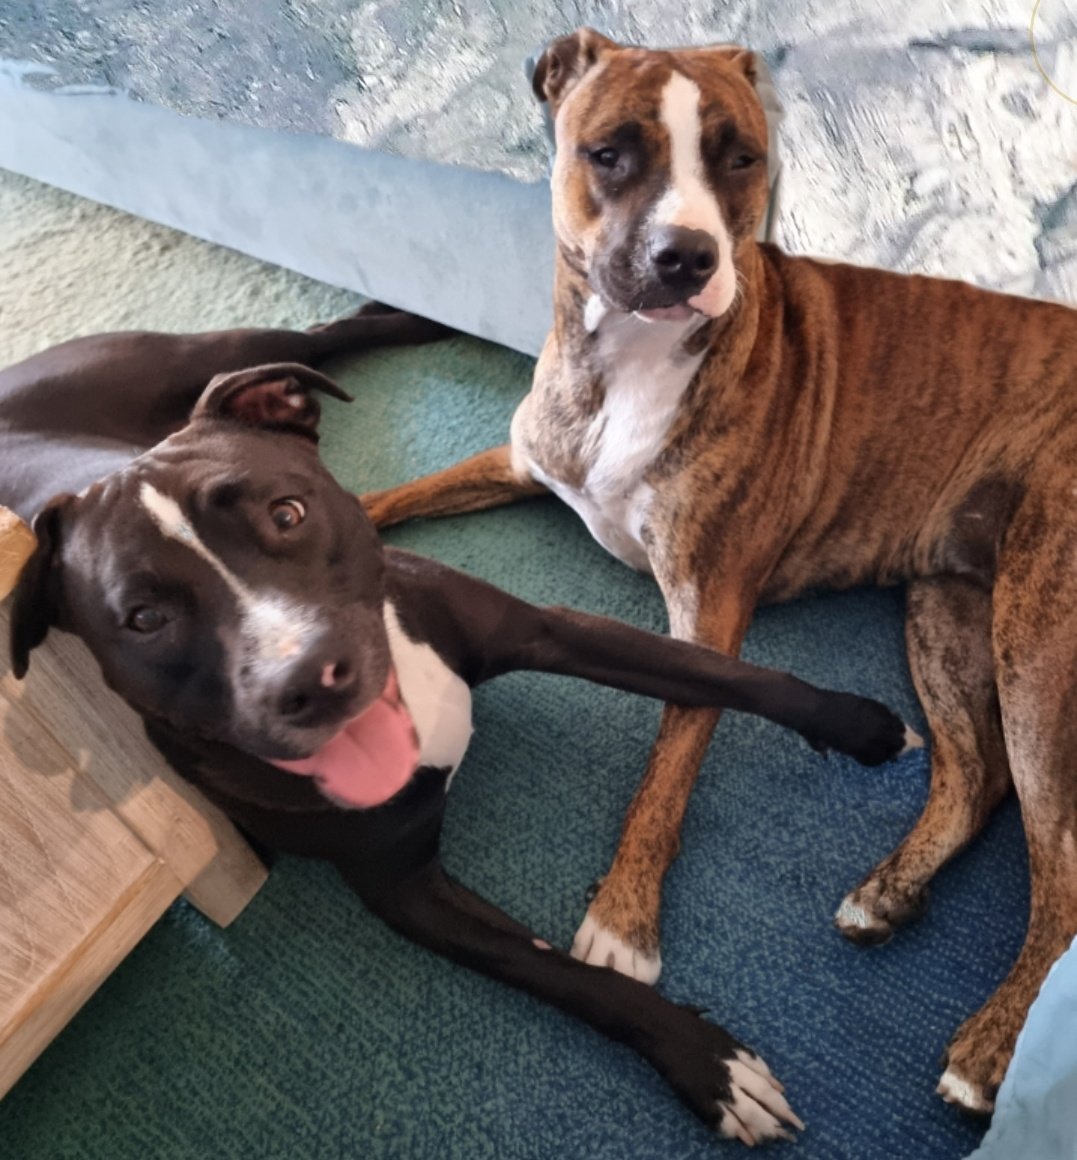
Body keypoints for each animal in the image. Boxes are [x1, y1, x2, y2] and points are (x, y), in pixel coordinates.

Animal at [357, 29, 1077, 1113]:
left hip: (1034, 632)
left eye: (741, 158)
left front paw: (623, 923)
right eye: (610, 151)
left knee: (1059, 866)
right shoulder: (519, 462)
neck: (624, 365)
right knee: (974, 773)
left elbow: (675, 750)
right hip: (948, 606)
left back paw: (988, 1050)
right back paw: (888, 893)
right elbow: (378, 500)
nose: (686, 255)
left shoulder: (710, 608)